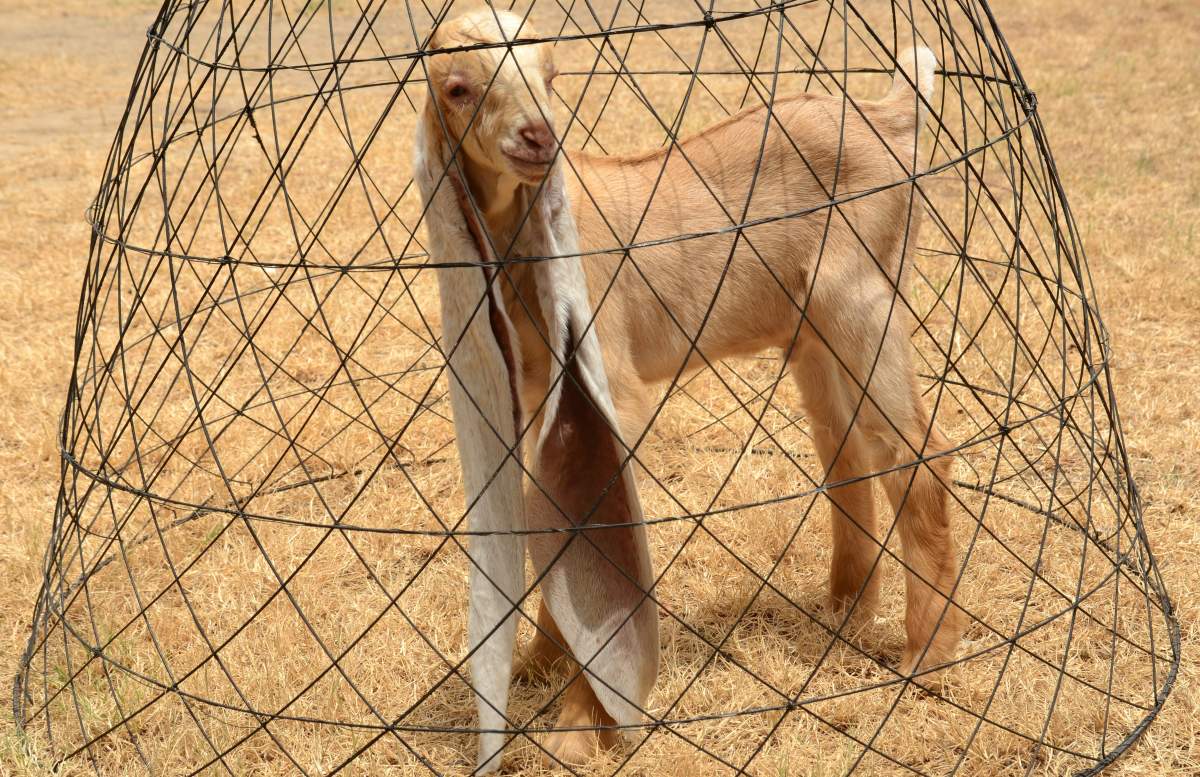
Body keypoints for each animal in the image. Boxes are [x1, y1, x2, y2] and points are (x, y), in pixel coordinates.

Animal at [413, 8, 961, 771]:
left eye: (552, 75)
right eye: (458, 87)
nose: (539, 138)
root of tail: (889, 113)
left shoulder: (609, 381)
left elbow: (596, 514)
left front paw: (579, 726)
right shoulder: (533, 384)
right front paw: (536, 663)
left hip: (864, 299)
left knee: (917, 454)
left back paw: (927, 660)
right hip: (813, 329)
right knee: (845, 450)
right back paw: (845, 610)